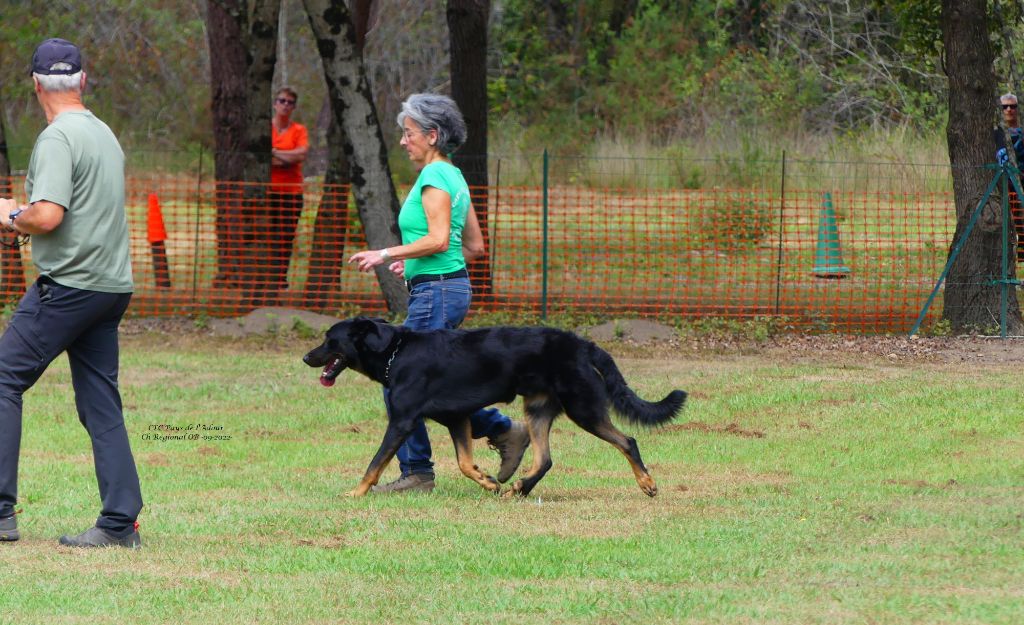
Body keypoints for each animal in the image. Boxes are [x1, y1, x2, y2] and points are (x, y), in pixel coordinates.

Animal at [303, 317, 686, 497]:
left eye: (329, 339)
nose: (306, 357)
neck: (396, 352)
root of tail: (582, 344)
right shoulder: (457, 419)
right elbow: (464, 463)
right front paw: (489, 482)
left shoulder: (402, 421)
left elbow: (374, 464)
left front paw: (356, 493)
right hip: (538, 409)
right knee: (545, 459)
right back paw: (521, 487)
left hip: (584, 408)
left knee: (627, 441)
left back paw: (647, 484)